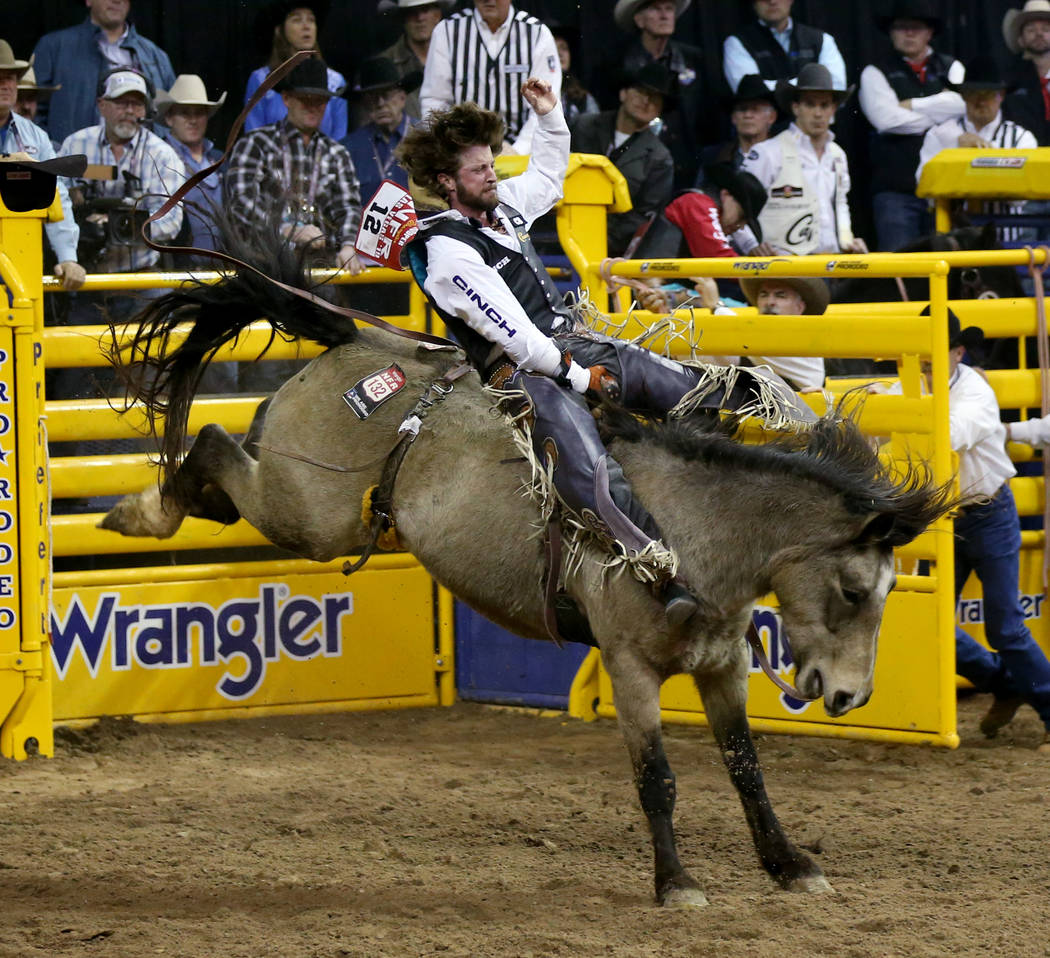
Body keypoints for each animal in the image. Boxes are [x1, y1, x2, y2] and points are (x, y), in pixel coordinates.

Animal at [100, 239, 961, 907]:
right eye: (853, 590)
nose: (850, 697)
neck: (694, 530)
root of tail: (351, 338)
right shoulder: (630, 667)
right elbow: (657, 777)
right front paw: (676, 884)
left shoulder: (723, 666)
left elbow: (746, 767)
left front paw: (789, 865)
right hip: (306, 508)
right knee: (214, 440)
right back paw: (145, 510)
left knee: (221, 462)